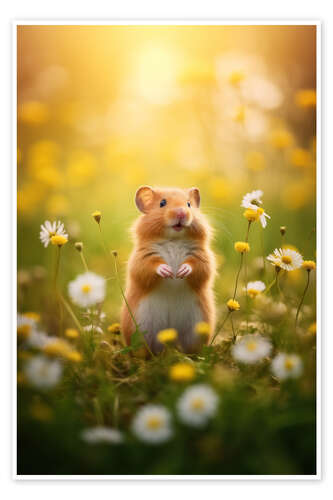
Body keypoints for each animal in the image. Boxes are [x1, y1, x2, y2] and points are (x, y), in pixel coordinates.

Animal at [120, 186, 217, 354]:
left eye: (188, 204)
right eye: (162, 203)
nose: (181, 213)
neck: (174, 239)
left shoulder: (202, 258)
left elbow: (196, 266)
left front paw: (181, 272)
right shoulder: (141, 259)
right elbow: (151, 266)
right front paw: (168, 271)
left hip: (197, 330)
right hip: (139, 330)